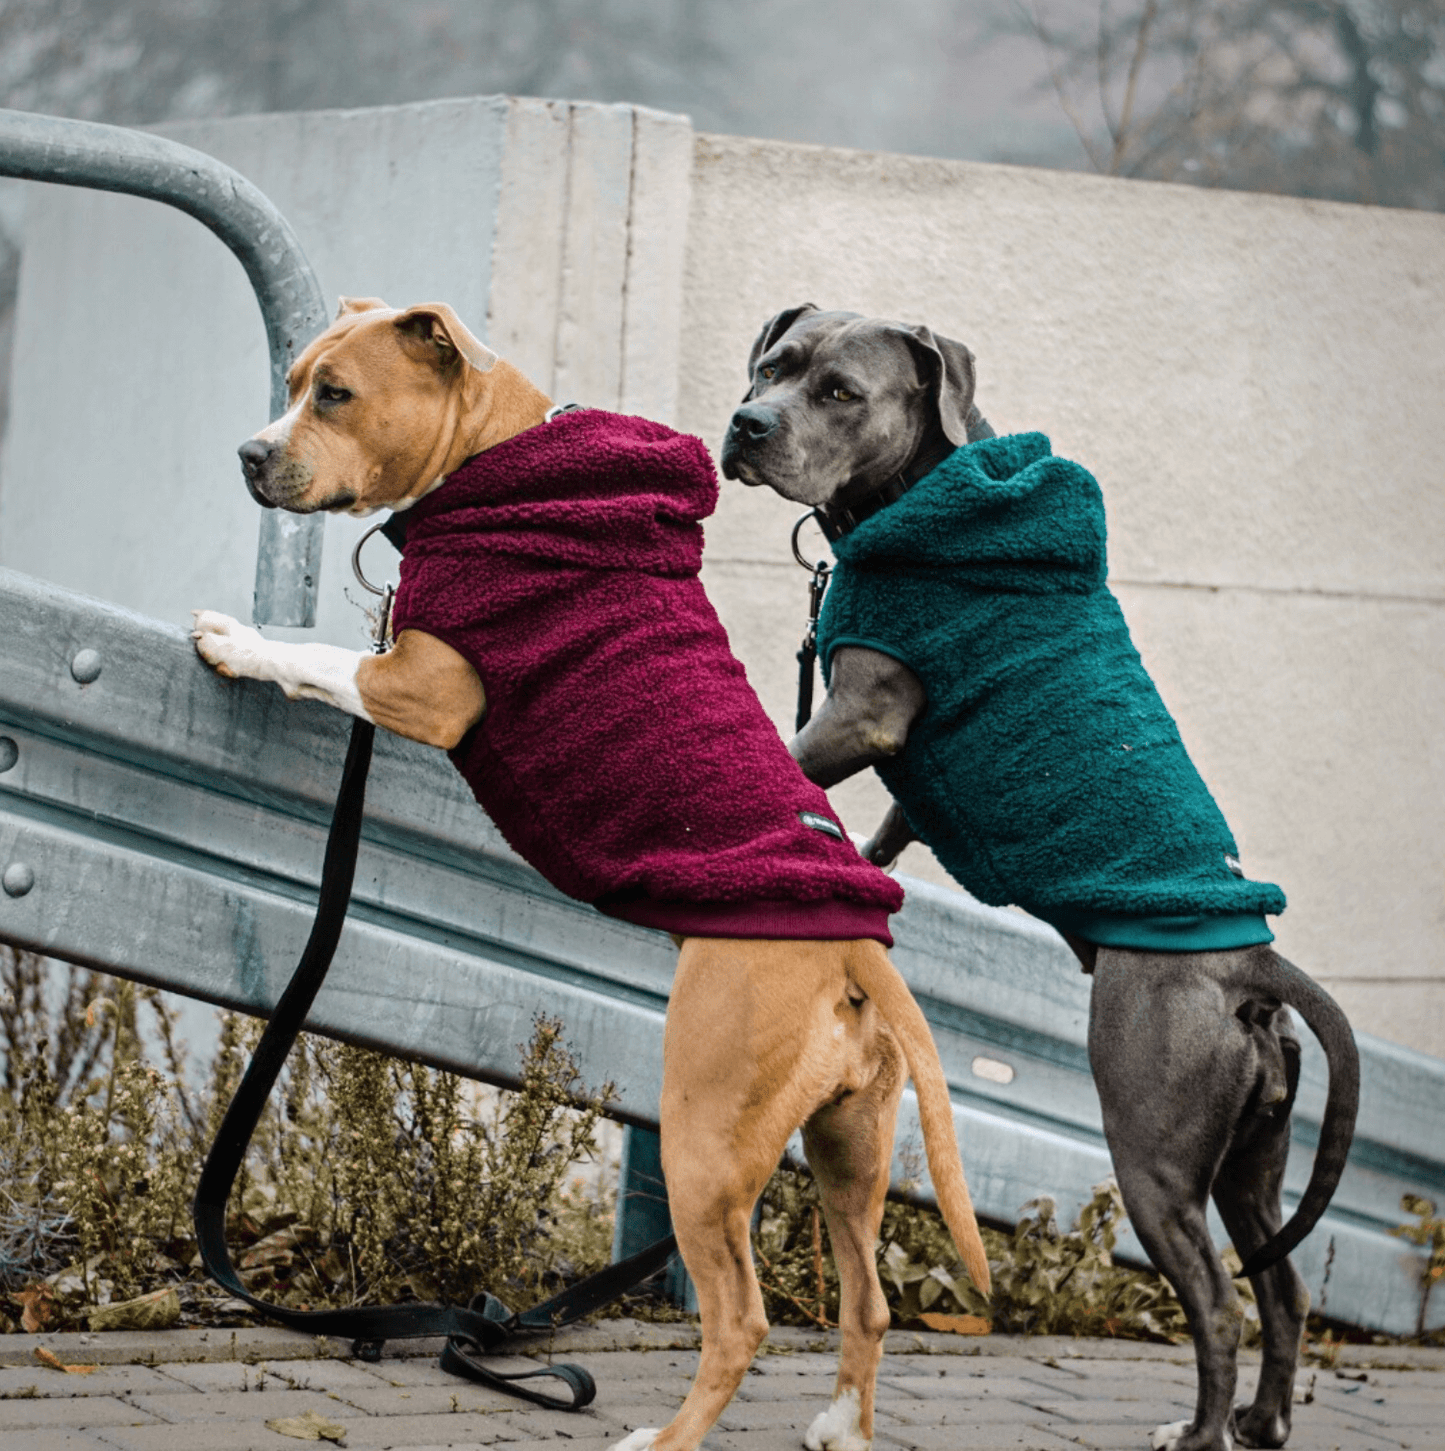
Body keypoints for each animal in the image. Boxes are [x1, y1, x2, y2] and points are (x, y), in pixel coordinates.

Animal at [191, 297, 986, 1451]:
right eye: (294, 382)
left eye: (333, 393)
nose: (250, 452)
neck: (493, 457)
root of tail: (852, 942)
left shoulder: (422, 684)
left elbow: (323, 661)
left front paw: (237, 639)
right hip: (849, 1149)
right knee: (867, 1295)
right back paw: (840, 1421)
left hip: (705, 1144)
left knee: (740, 1320)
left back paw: (666, 1438)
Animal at [722, 303, 1363, 1451]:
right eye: (771, 366)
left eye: (839, 391)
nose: (747, 424)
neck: (921, 490)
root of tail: (1251, 965)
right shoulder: (910, 771)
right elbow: (878, 827)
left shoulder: (868, 704)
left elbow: (793, 756)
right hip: (1251, 1157)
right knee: (1280, 1286)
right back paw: (1260, 1420)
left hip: (1153, 1152)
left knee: (1218, 1299)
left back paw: (1198, 1430)